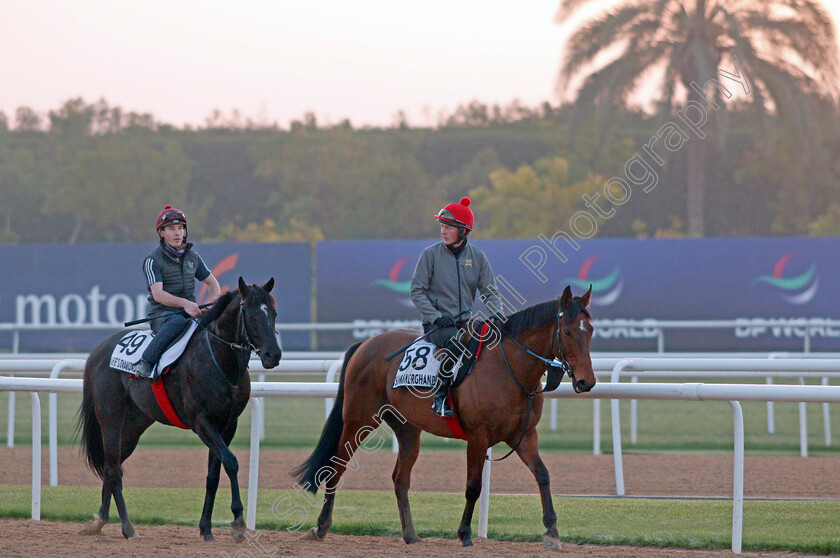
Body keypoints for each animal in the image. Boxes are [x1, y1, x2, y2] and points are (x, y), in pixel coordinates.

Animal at [79, 278, 282, 544]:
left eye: (274, 313)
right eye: (251, 315)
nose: (273, 355)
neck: (220, 360)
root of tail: (96, 352)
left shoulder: (227, 425)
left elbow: (213, 475)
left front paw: (206, 528)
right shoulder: (202, 422)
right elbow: (231, 462)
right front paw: (238, 522)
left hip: (132, 428)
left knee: (110, 467)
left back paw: (99, 521)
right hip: (111, 419)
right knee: (114, 470)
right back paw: (128, 527)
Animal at [296, 286, 596, 548]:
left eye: (590, 330)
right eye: (567, 331)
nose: (586, 382)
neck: (508, 369)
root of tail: (365, 343)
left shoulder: (523, 435)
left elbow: (542, 475)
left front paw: (552, 531)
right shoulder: (478, 437)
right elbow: (473, 486)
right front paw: (464, 534)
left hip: (407, 429)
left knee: (400, 479)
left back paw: (411, 535)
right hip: (359, 420)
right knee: (336, 468)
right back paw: (321, 526)